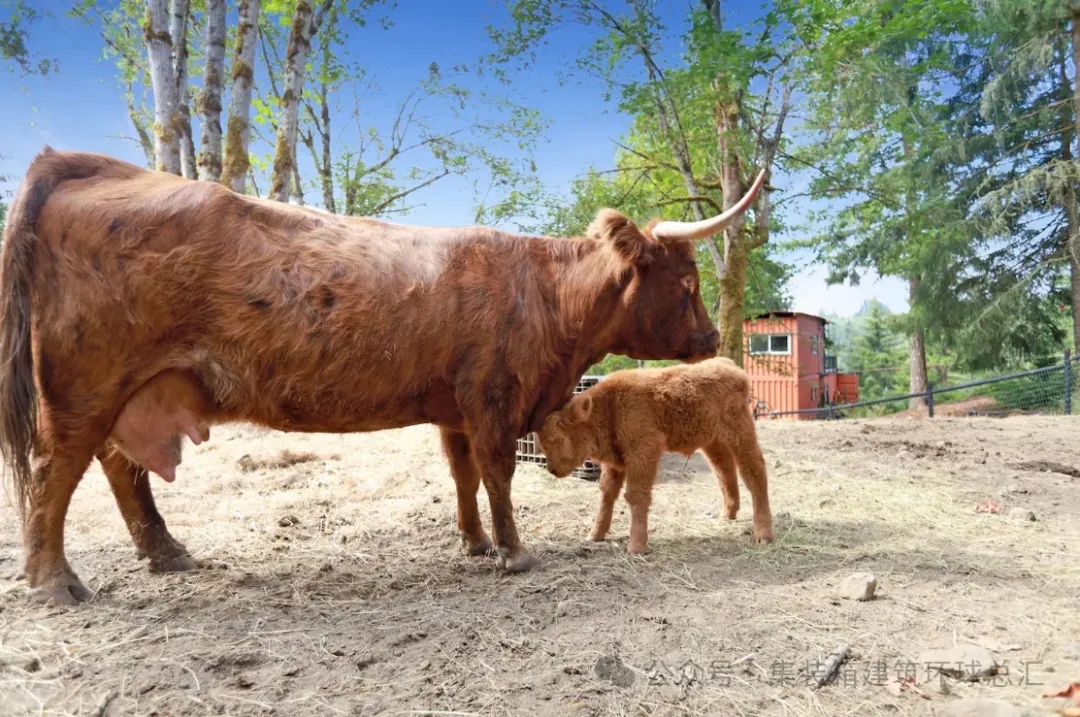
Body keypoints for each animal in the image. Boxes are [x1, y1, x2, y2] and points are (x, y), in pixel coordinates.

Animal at [533, 356, 773, 552]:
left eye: (558, 437)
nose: (552, 469)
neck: (609, 406)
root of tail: (729, 365)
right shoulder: (616, 462)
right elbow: (607, 493)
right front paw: (595, 535)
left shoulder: (643, 452)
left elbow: (635, 495)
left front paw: (636, 547)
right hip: (713, 442)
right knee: (724, 471)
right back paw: (727, 515)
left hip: (740, 433)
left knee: (754, 471)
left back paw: (763, 534)